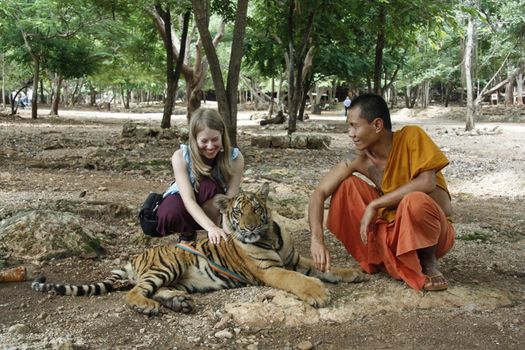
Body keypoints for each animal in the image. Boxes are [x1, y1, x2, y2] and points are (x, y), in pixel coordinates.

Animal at [31, 182, 364, 316]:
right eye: (239, 212)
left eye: (256, 209)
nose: (249, 228)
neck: (271, 236)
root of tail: (137, 256)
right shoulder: (271, 271)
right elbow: (297, 279)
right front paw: (318, 293)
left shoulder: (295, 259)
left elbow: (323, 268)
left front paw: (354, 273)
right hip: (168, 265)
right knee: (134, 292)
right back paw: (146, 307)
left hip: (177, 278)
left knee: (154, 290)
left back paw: (178, 302)